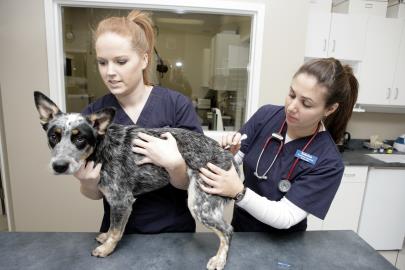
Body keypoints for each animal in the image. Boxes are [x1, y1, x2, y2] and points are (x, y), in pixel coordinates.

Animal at [34, 91, 237, 270]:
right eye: (53, 136)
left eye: (80, 139)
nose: (59, 166)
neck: (103, 148)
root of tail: (225, 154)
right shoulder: (117, 203)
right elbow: (113, 227)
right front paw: (106, 237)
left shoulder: (122, 200)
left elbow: (116, 231)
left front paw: (106, 249)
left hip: (200, 204)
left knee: (227, 230)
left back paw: (219, 259)